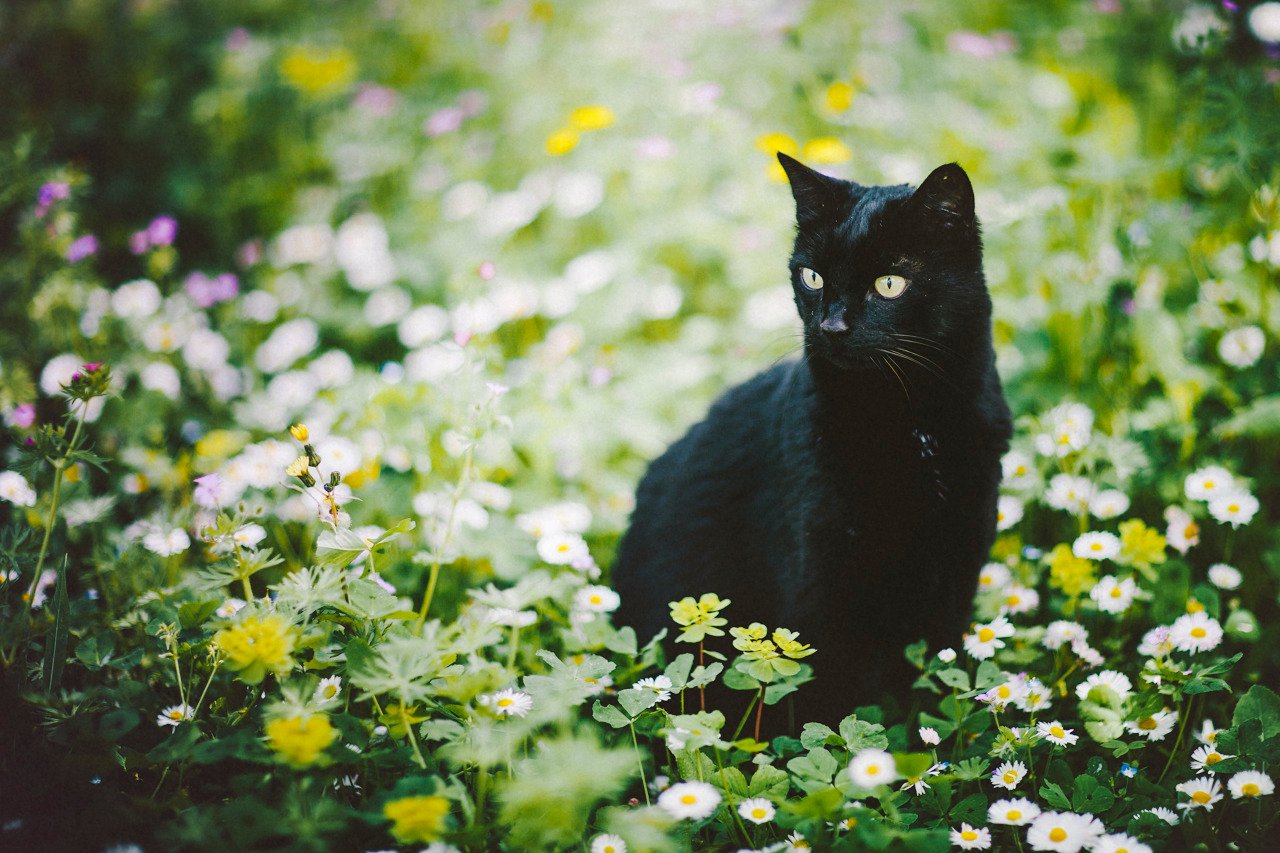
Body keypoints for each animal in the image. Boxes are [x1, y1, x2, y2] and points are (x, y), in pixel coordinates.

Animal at [609, 149, 1008, 722]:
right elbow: (828, 699)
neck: (909, 423)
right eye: (812, 276)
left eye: (890, 283)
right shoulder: (817, 583)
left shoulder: (959, 565)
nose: (832, 327)